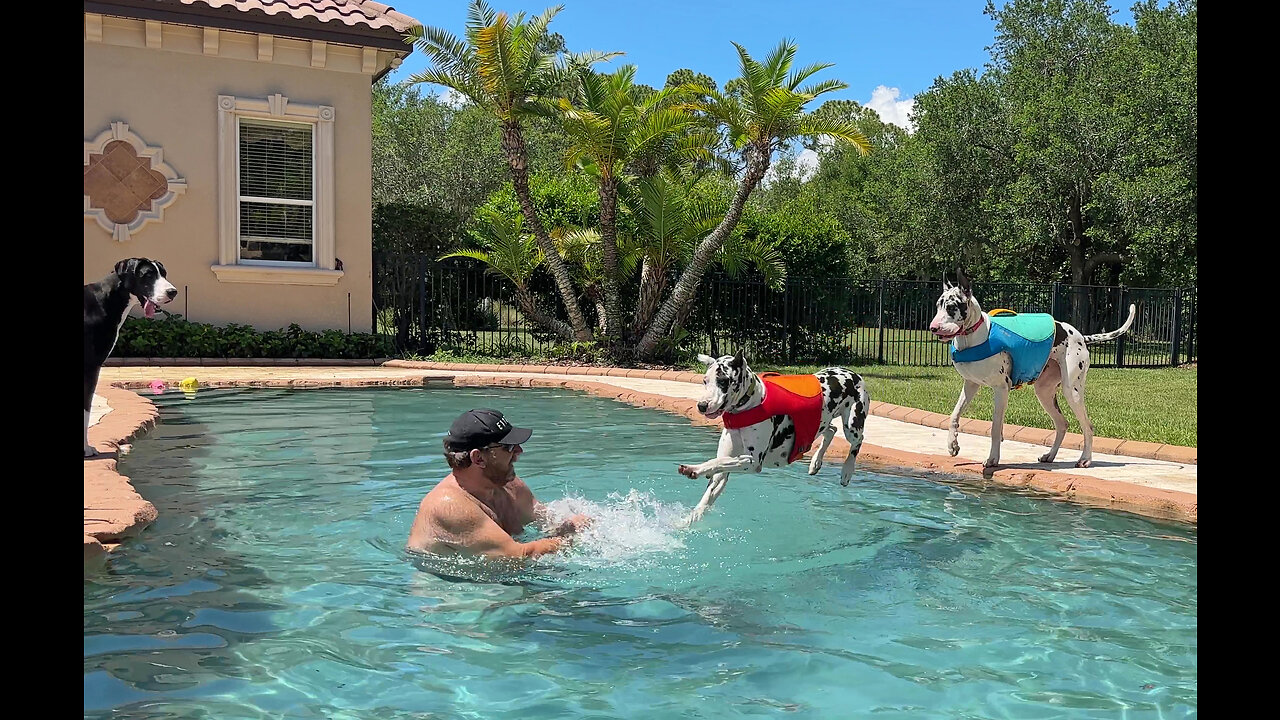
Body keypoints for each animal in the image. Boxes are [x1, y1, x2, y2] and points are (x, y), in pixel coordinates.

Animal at [675, 351, 875, 520]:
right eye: (705, 381)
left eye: (723, 381)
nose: (701, 405)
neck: (749, 404)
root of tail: (853, 373)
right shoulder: (724, 471)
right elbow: (711, 486)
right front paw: (687, 522)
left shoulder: (753, 462)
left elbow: (717, 462)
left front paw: (695, 468)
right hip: (822, 421)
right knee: (831, 430)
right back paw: (815, 462)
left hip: (852, 424)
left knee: (858, 441)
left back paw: (847, 471)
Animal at [931, 266, 1131, 468]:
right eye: (938, 306)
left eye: (952, 307)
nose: (933, 327)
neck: (975, 336)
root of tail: (1081, 336)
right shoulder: (971, 385)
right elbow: (954, 415)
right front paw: (952, 444)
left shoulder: (1001, 389)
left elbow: (995, 427)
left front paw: (993, 459)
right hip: (1044, 392)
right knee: (1062, 424)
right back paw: (1050, 455)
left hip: (1072, 391)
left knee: (1088, 427)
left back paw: (1085, 459)